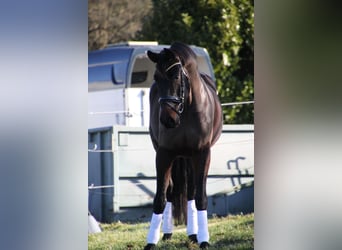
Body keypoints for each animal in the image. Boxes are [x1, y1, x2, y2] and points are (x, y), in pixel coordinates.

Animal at [144, 42, 222, 249]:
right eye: (156, 78)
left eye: (176, 76)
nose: (167, 119)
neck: (186, 109)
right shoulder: (164, 154)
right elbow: (160, 197)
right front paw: (150, 242)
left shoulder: (202, 153)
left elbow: (200, 197)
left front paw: (204, 240)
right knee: (172, 191)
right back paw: (168, 233)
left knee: (192, 192)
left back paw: (194, 234)